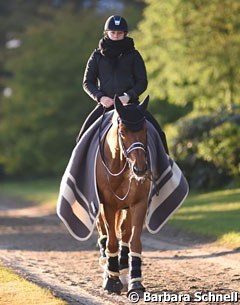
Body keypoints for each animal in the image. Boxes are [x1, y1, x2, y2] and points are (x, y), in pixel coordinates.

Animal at [95, 95, 150, 294]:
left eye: (145, 130)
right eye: (123, 132)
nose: (140, 169)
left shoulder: (139, 203)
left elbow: (134, 241)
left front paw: (136, 282)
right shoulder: (108, 205)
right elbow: (111, 241)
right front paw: (111, 281)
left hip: (126, 208)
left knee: (124, 235)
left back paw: (124, 271)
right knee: (104, 235)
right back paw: (108, 271)